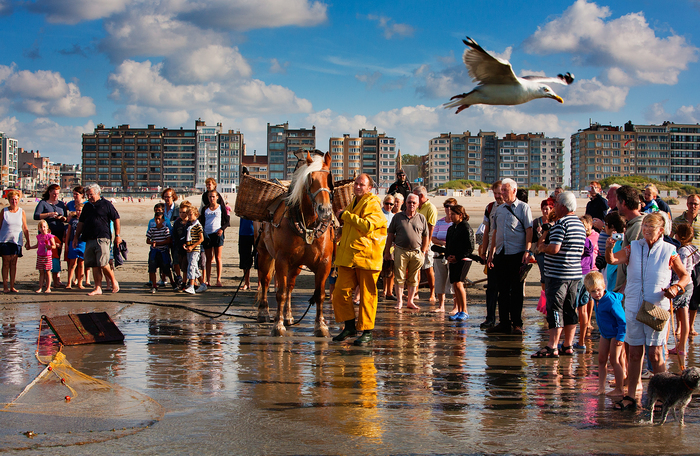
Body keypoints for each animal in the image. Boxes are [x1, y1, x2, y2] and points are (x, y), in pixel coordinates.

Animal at [256, 151, 334, 336]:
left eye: (329, 178)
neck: (308, 225)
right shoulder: (282, 260)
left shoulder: (324, 263)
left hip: (296, 265)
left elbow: (319, 294)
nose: (325, 210)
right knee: (265, 280)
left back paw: (288, 315)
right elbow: (280, 293)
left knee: (290, 286)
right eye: (311, 179)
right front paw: (278, 325)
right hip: (264, 254)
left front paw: (321, 325)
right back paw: (264, 312)